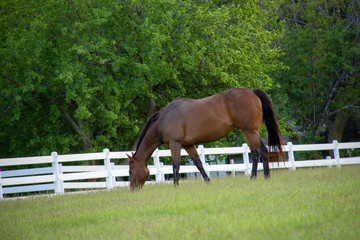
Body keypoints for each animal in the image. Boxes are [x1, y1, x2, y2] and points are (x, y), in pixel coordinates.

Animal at [127, 88, 284, 189]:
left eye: (130, 171)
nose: (132, 189)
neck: (163, 119)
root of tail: (252, 91)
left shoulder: (175, 143)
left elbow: (176, 165)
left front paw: (175, 186)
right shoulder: (188, 145)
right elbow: (198, 163)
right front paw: (208, 182)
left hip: (251, 131)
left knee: (262, 151)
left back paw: (266, 177)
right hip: (248, 132)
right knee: (255, 153)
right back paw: (253, 178)